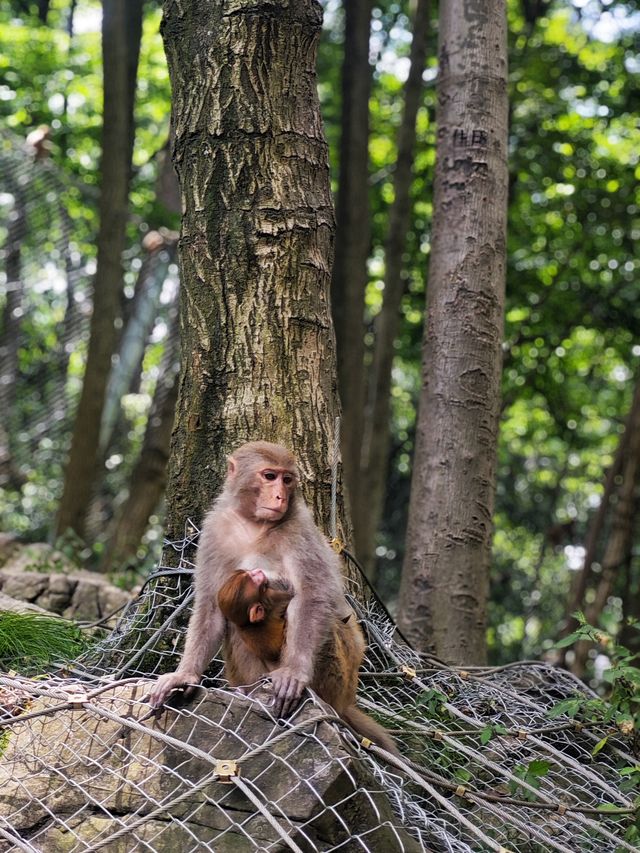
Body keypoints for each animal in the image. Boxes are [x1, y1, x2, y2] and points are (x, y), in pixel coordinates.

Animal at [149, 436, 350, 716]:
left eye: (287, 480)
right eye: (269, 476)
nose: (280, 496)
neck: (254, 522)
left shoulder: (299, 529)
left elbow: (312, 596)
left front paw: (293, 671)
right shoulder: (214, 530)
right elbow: (211, 604)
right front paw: (185, 674)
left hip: (335, 681)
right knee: (235, 621)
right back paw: (250, 691)